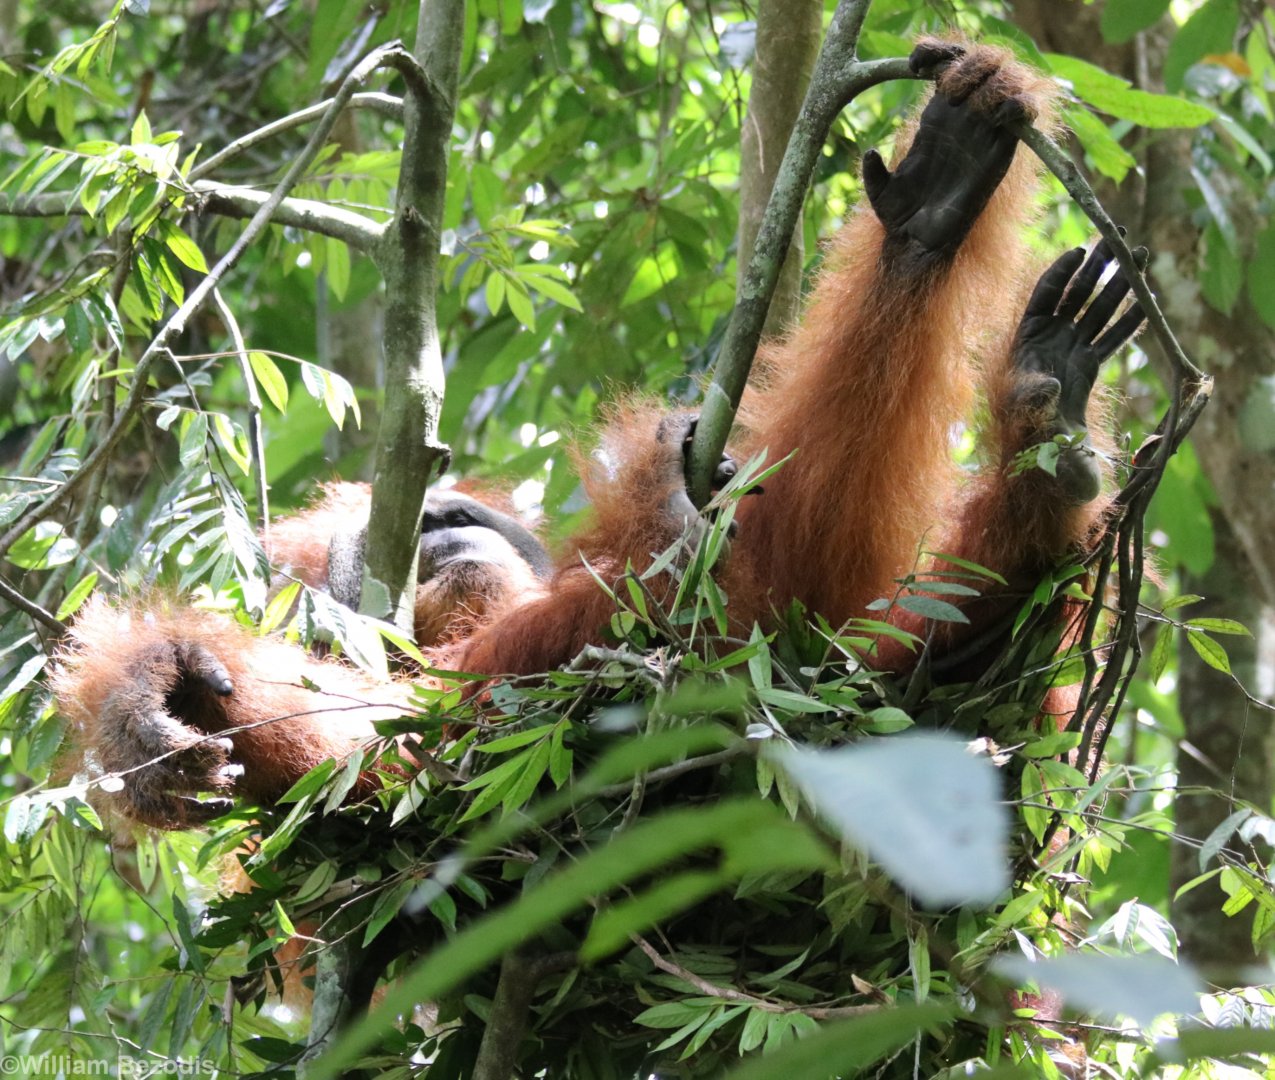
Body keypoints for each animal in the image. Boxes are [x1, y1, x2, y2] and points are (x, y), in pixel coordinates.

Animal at [52, 39, 1148, 831]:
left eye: (443, 510)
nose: (439, 525)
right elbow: (394, 756)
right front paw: (148, 705)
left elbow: (840, 591)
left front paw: (932, 208)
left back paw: (1035, 414)